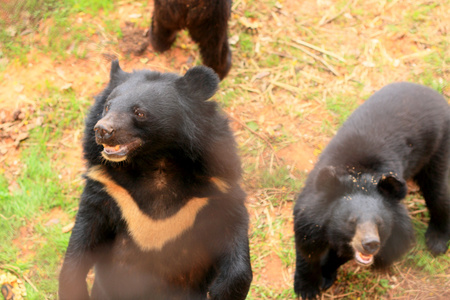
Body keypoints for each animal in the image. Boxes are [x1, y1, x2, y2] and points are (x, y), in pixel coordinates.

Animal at [58, 61, 251, 300]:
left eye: (139, 112)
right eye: (107, 106)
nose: (102, 130)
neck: (155, 161)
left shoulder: (216, 187)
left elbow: (232, 228)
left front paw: (221, 291)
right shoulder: (107, 186)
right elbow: (84, 234)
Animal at [294, 82, 448, 300]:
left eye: (380, 223)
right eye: (351, 222)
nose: (371, 244)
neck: (360, 174)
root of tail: (433, 92)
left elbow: (342, 253)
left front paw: (326, 274)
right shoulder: (312, 208)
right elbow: (307, 244)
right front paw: (306, 288)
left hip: (439, 147)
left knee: (438, 193)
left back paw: (437, 242)